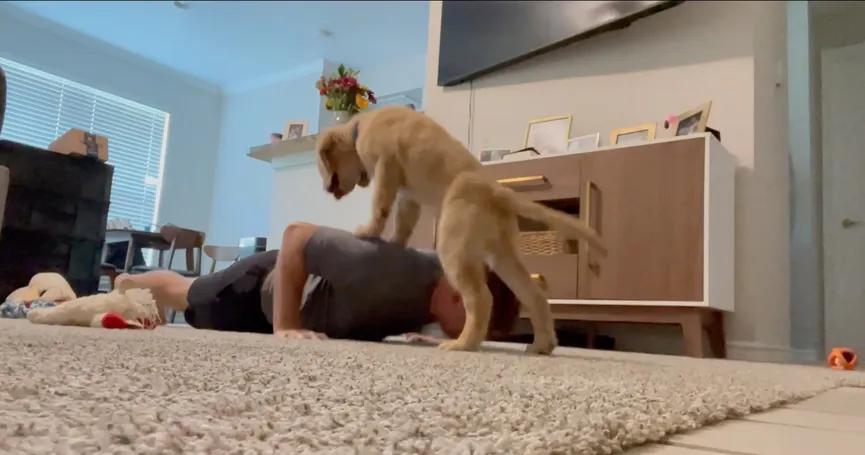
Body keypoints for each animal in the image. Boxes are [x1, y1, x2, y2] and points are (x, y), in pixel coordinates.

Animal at [314, 106, 604, 356]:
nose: (326, 190)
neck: (361, 125)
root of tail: (499, 192)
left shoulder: (387, 167)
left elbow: (380, 206)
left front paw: (368, 230)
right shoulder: (408, 196)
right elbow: (404, 222)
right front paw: (395, 242)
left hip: (454, 249)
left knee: (481, 299)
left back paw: (463, 344)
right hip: (504, 257)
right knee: (535, 296)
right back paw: (542, 345)